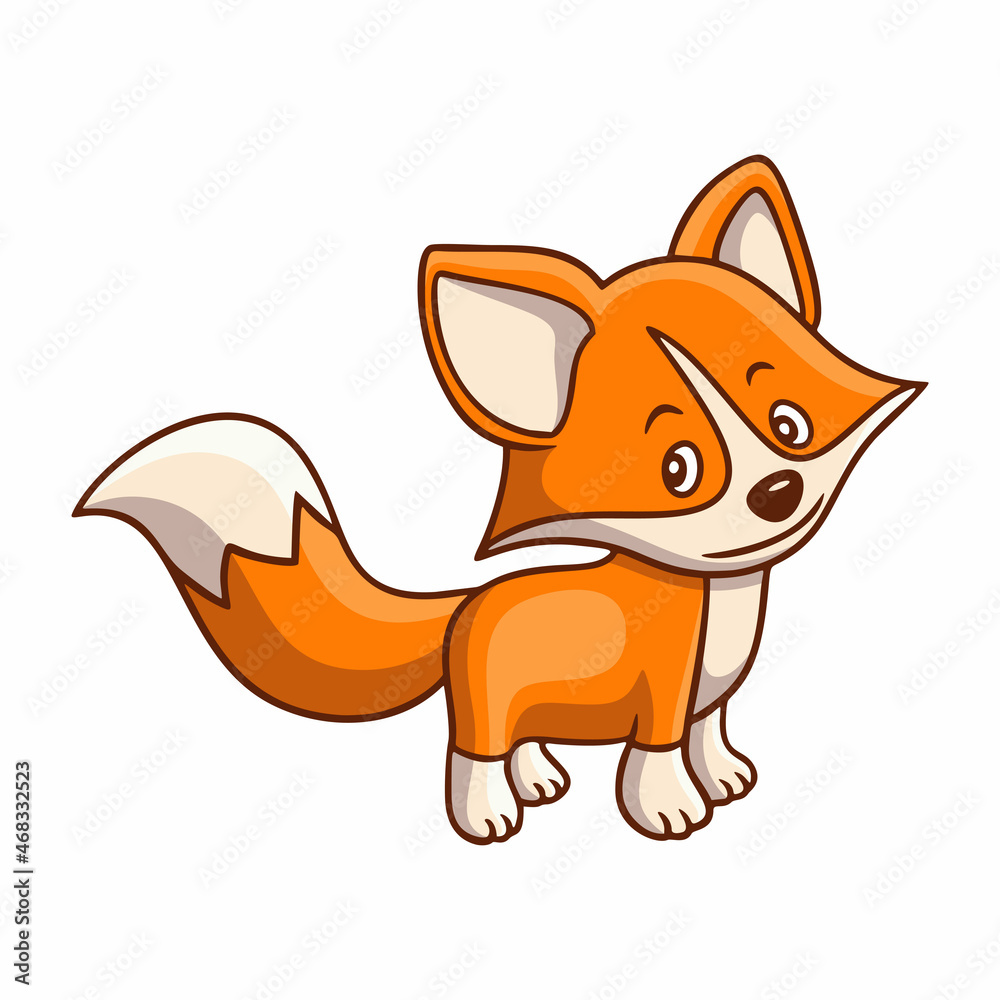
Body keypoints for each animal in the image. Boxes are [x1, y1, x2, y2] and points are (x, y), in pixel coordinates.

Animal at [76, 157, 923, 844]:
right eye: (678, 469)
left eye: (788, 424)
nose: (778, 491)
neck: (723, 599)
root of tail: (467, 604)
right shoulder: (661, 698)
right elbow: (658, 758)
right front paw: (671, 811)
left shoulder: (706, 701)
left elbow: (709, 735)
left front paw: (724, 779)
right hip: (484, 704)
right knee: (472, 753)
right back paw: (489, 815)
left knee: (521, 742)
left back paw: (542, 779)